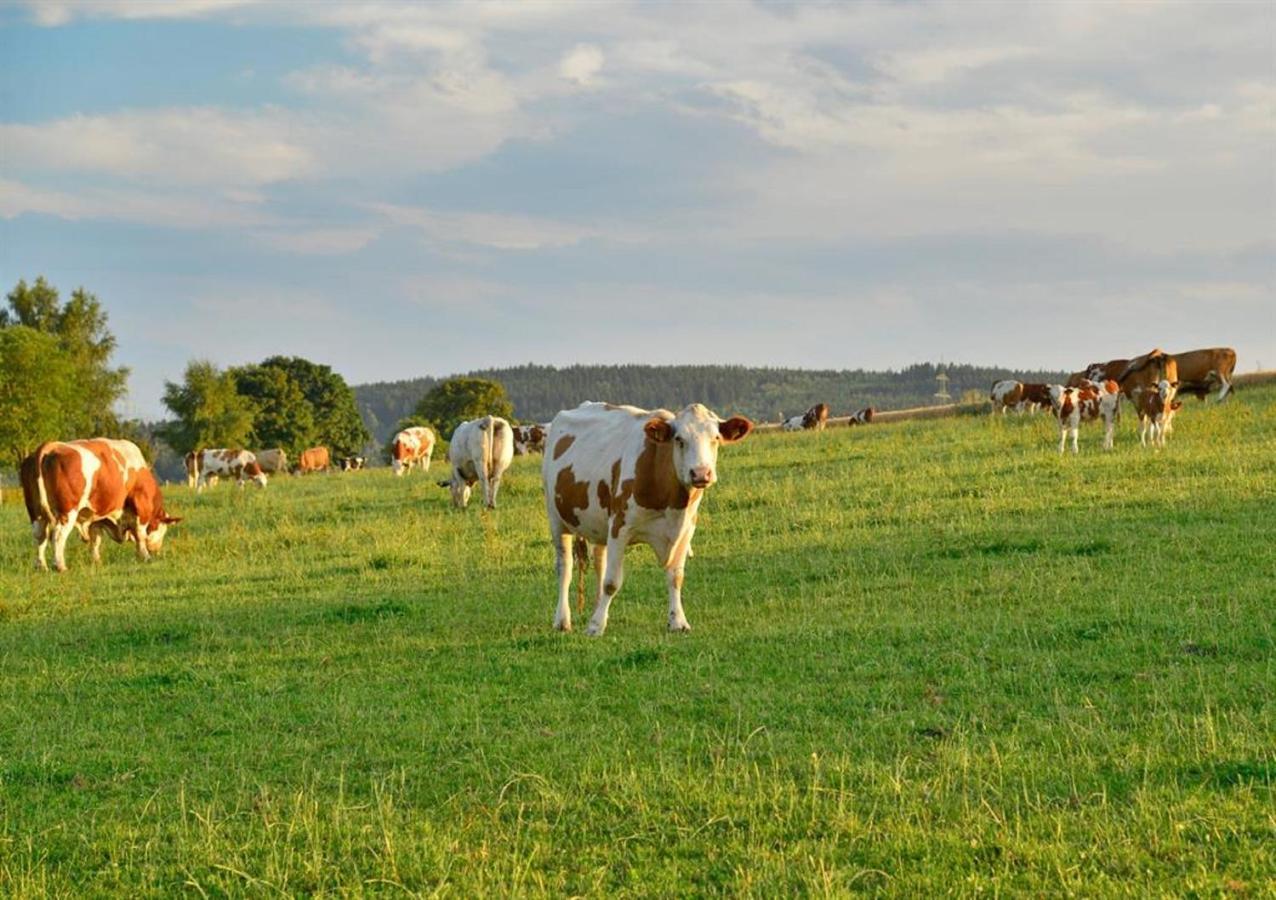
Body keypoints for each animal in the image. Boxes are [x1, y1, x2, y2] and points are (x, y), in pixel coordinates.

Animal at [18, 436, 181, 577]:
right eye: (162, 529)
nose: (156, 549)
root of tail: (50, 446)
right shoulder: (142, 507)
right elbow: (140, 534)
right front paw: (145, 556)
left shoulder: (93, 515)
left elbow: (95, 538)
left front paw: (96, 561)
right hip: (67, 512)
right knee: (57, 536)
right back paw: (60, 566)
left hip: (36, 512)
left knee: (40, 536)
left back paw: (41, 566)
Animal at [543, 400, 750, 633]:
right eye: (679, 440)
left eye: (715, 438)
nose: (701, 473)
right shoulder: (619, 527)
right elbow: (611, 582)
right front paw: (596, 626)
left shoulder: (686, 530)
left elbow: (676, 577)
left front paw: (678, 621)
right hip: (557, 519)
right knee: (565, 567)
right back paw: (562, 620)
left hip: (598, 525)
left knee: (599, 562)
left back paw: (596, 608)